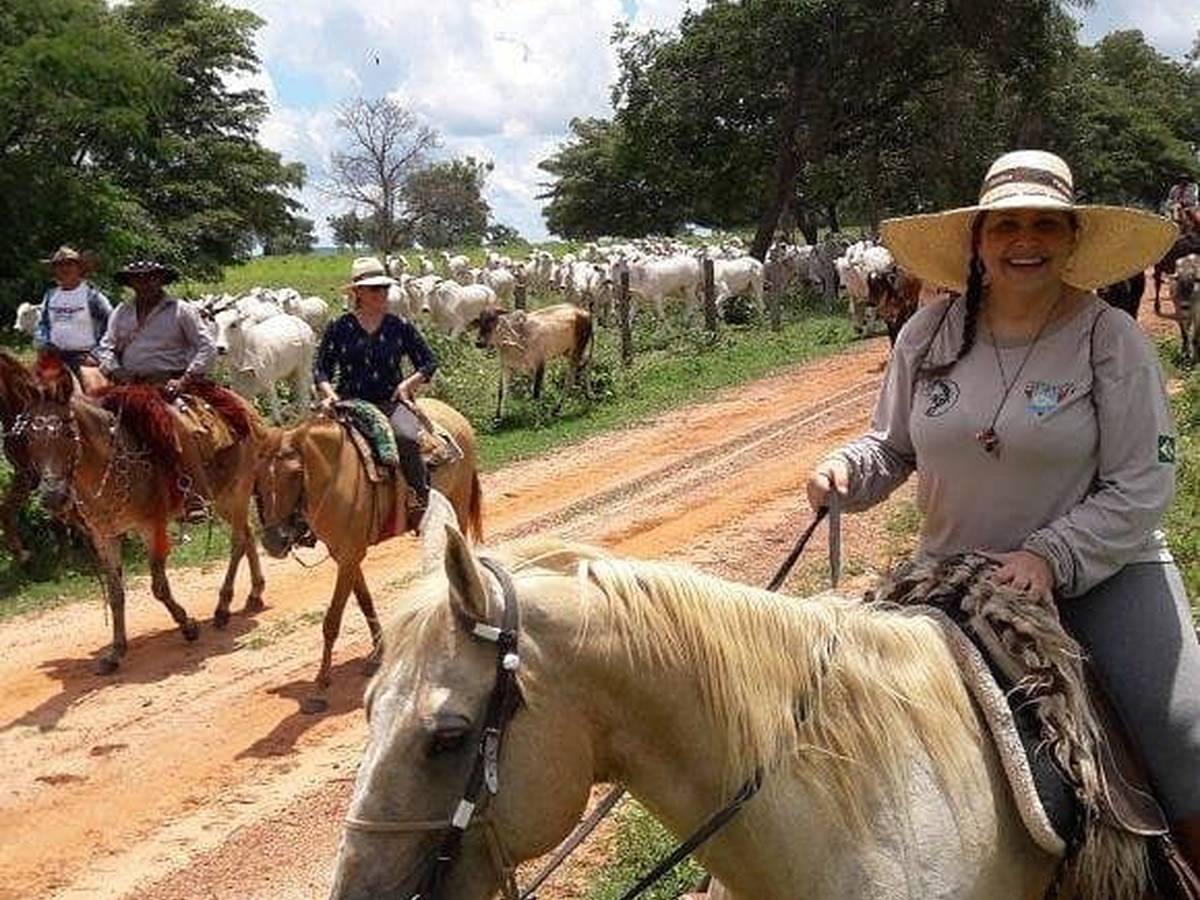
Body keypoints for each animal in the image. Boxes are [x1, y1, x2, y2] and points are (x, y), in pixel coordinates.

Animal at [19, 357, 267, 672]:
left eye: (67, 433)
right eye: (29, 438)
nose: (53, 497)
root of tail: (242, 405)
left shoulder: (151, 526)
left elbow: (158, 586)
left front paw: (188, 626)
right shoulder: (104, 536)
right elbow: (116, 594)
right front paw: (115, 652)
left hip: (237, 490)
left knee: (237, 542)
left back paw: (223, 608)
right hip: (225, 498)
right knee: (247, 534)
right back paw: (255, 593)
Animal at [254, 398, 482, 710]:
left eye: (296, 473)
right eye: (259, 476)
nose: (273, 541)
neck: (335, 474)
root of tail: (453, 413)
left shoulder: (350, 554)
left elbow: (331, 621)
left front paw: (320, 686)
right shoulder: (345, 554)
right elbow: (365, 602)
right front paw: (377, 656)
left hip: (457, 506)